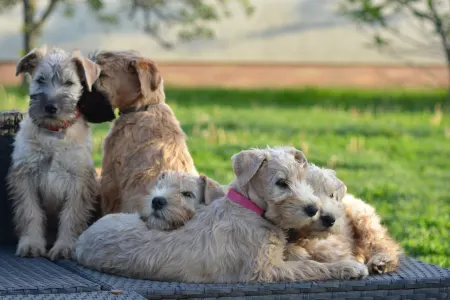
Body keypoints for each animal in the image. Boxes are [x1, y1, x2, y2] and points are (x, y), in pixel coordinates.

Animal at [7, 44, 102, 260]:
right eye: (40, 80)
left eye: (69, 83)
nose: (50, 107)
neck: (53, 134)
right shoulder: (25, 177)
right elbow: (30, 212)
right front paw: (31, 244)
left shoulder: (78, 180)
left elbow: (71, 216)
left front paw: (65, 246)